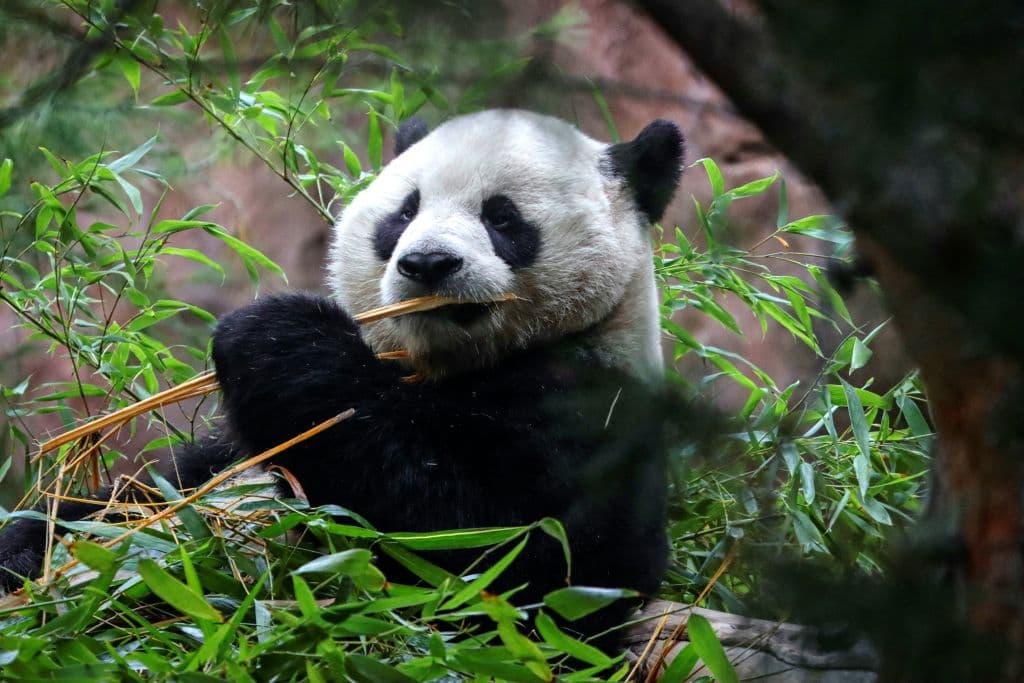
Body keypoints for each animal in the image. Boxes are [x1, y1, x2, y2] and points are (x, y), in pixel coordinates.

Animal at [0, 109, 684, 643]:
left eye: (503, 217)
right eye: (404, 212)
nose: (427, 263)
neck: (446, 365)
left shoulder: (590, 415)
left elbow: (488, 556)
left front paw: (277, 332)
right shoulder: (220, 459)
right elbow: (139, 497)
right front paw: (28, 548)